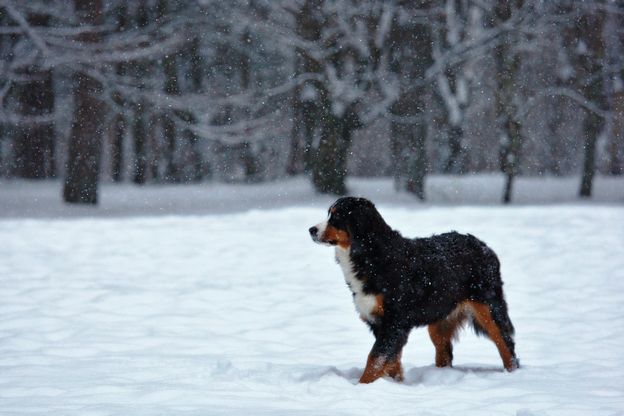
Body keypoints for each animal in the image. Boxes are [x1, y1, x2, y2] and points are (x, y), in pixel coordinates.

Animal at [310, 197, 520, 384]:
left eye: (336, 216)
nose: (311, 230)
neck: (370, 255)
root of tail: (484, 246)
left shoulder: (394, 321)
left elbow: (375, 359)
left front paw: (362, 386)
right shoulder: (380, 322)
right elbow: (391, 361)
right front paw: (395, 384)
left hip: (488, 309)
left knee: (506, 345)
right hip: (439, 321)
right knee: (445, 354)